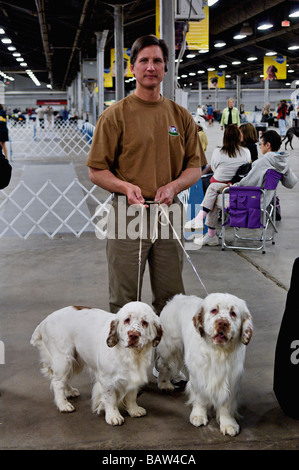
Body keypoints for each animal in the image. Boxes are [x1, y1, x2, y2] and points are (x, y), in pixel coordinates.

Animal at [30, 302, 163, 426]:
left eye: (145, 322)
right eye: (127, 320)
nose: (133, 335)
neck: (130, 354)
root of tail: (45, 321)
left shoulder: (134, 375)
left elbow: (131, 395)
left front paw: (134, 410)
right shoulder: (107, 380)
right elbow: (110, 399)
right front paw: (113, 416)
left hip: (74, 360)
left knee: (64, 379)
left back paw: (70, 392)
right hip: (64, 359)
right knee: (57, 382)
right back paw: (63, 404)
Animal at [157, 294, 253, 436]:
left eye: (233, 313)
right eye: (214, 310)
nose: (222, 323)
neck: (218, 352)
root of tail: (176, 298)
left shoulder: (231, 378)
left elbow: (226, 404)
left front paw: (229, 424)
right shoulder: (199, 375)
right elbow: (200, 397)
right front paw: (198, 416)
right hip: (169, 347)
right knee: (163, 365)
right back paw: (165, 384)